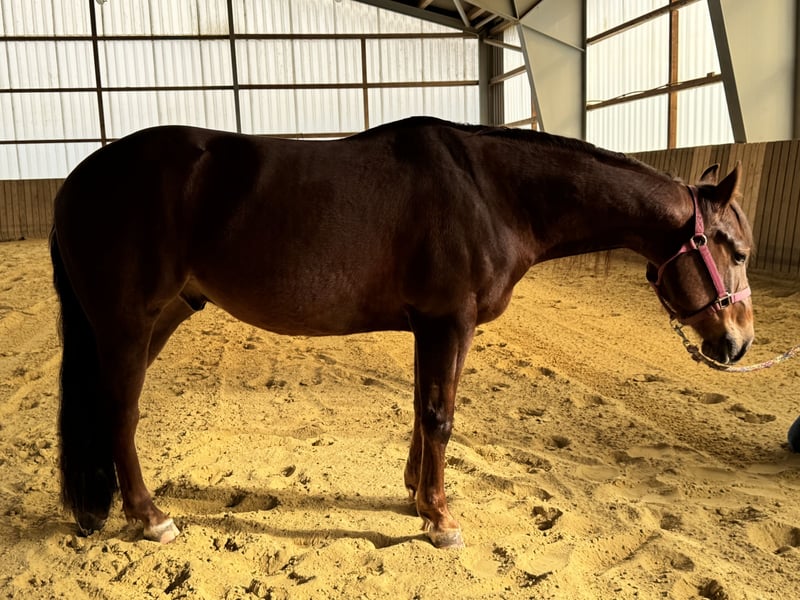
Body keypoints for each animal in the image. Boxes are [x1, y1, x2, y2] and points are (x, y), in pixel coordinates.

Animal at [49, 116, 754, 549]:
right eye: (736, 251)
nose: (736, 344)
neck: (490, 192)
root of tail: (77, 181)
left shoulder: (429, 326)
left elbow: (422, 409)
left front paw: (417, 495)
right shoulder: (449, 321)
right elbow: (440, 416)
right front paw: (441, 520)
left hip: (161, 316)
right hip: (127, 323)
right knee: (118, 412)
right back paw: (151, 518)